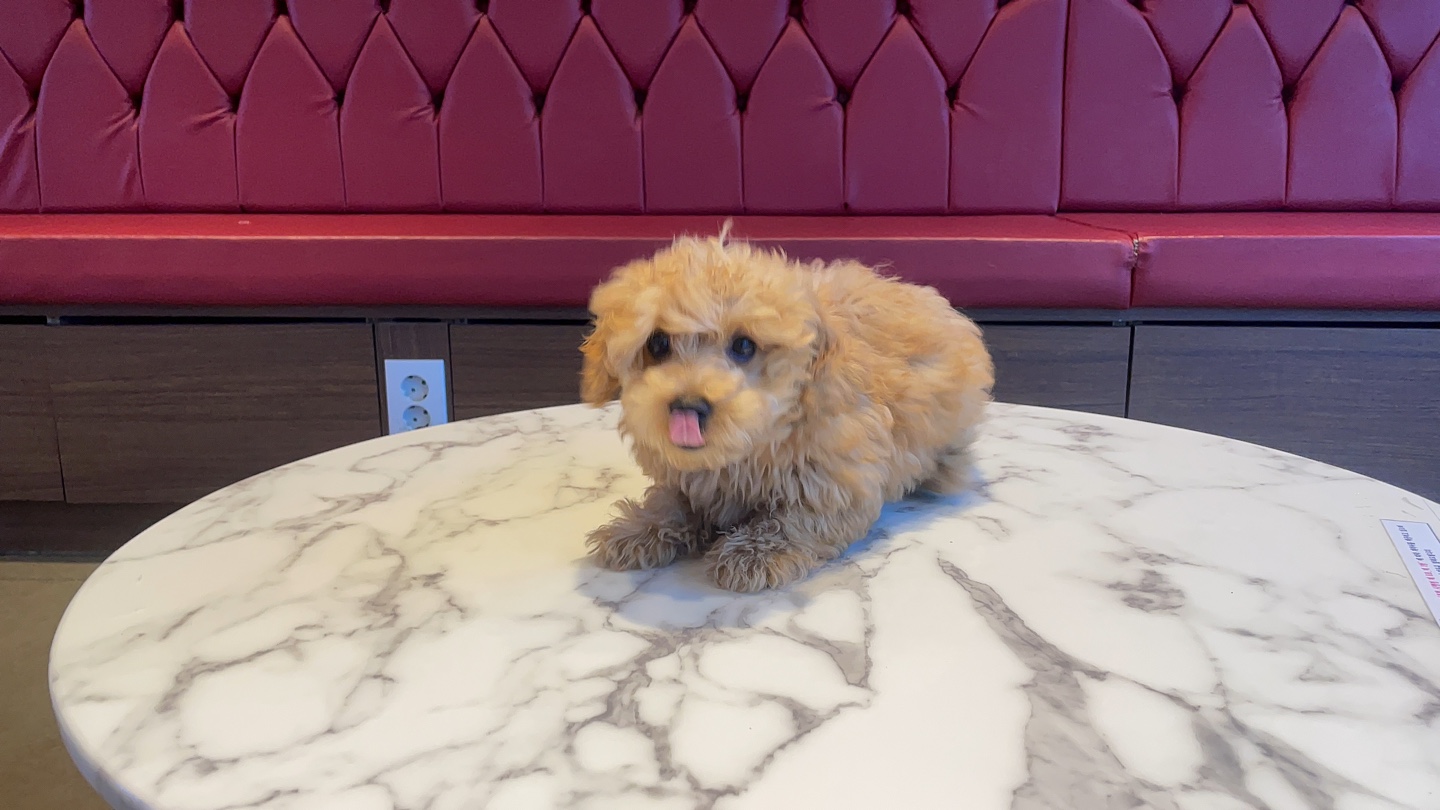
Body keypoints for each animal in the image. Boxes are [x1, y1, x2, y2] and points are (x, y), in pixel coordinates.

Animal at [579, 229, 994, 592]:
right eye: (658, 343)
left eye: (743, 346)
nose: (687, 407)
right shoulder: (683, 473)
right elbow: (671, 499)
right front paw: (640, 528)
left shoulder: (842, 478)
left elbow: (797, 518)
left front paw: (752, 552)